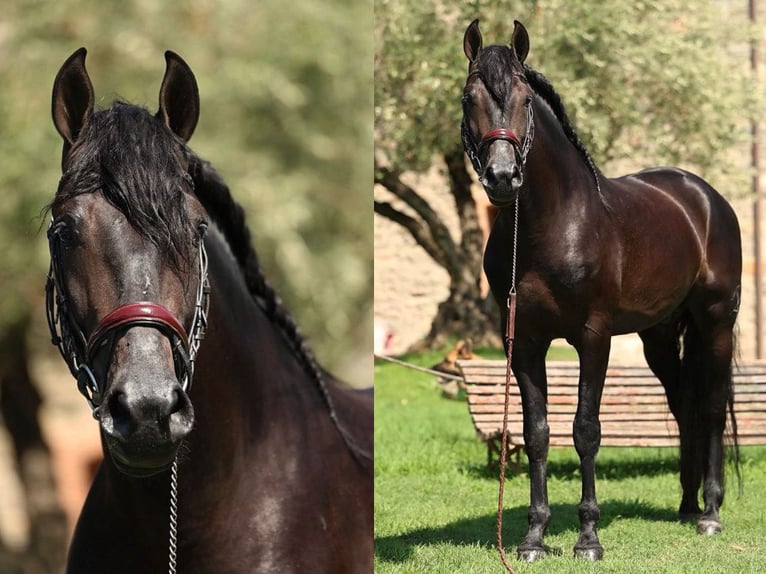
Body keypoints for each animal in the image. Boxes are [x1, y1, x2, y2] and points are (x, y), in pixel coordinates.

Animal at [462, 21, 744, 564]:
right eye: (469, 98)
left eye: (525, 99)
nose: (503, 177)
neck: (549, 227)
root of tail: (704, 197)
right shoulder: (524, 343)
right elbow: (537, 433)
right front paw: (532, 538)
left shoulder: (594, 337)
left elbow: (586, 430)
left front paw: (588, 538)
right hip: (659, 336)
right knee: (684, 407)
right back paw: (685, 505)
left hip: (716, 322)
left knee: (711, 407)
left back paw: (711, 512)